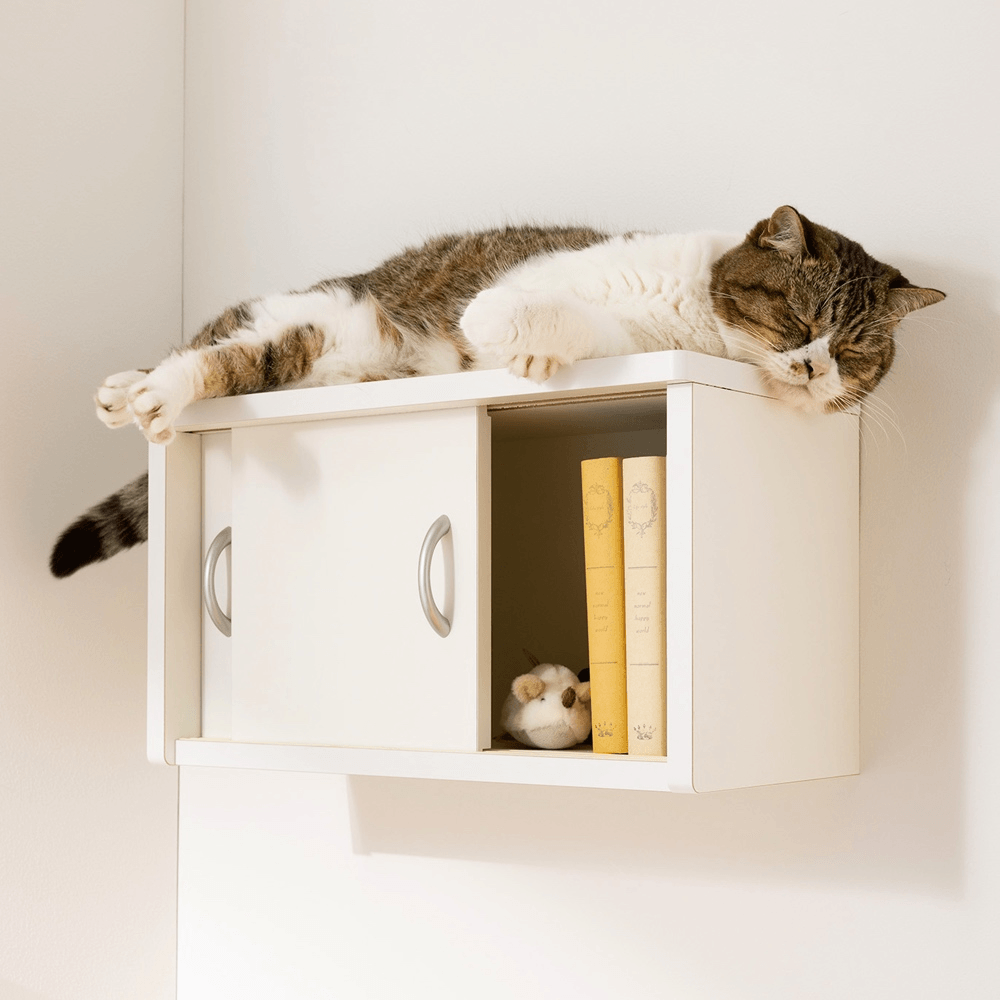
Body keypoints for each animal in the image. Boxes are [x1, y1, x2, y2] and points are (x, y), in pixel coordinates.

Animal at [49, 205, 944, 578]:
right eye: (800, 318)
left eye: (856, 352)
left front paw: (539, 360)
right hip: (312, 317)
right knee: (204, 347)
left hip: (303, 351)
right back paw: (139, 390)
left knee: (231, 360)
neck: (693, 322)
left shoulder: (631, 345)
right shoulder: (531, 291)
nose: (814, 368)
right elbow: (502, 311)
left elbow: (571, 332)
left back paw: (141, 393)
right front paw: (516, 338)